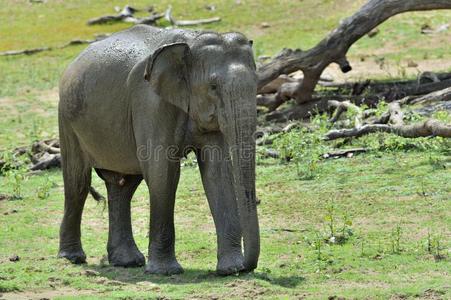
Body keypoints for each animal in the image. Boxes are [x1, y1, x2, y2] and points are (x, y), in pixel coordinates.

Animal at [57, 24, 262, 276]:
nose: (246, 267)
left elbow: (217, 172)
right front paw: (166, 271)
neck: (190, 43)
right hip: (67, 118)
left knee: (122, 185)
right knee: (78, 183)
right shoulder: (150, 103)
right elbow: (163, 172)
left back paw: (127, 262)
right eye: (213, 87)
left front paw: (230, 269)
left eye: (257, 81)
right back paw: (73, 257)